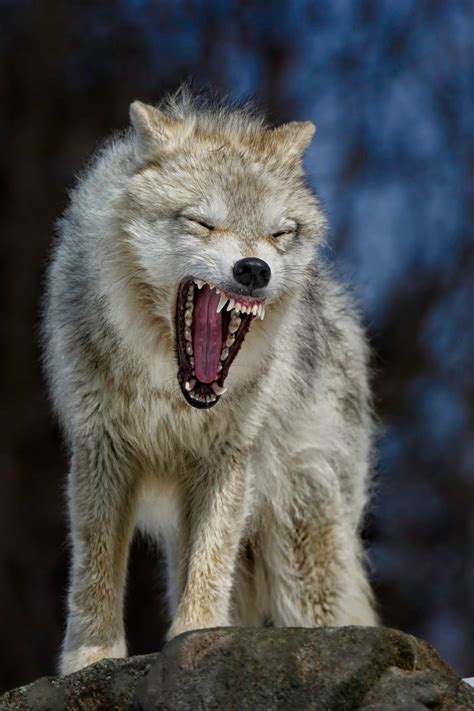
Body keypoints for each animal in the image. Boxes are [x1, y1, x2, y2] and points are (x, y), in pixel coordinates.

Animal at [42, 90, 377, 675]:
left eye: (279, 233)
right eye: (201, 222)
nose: (255, 269)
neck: (170, 394)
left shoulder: (227, 460)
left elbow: (210, 566)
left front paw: (197, 640)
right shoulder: (102, 449)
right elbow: (95, 572)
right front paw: (91, 660)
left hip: (298, 537)